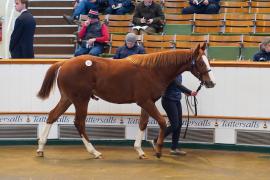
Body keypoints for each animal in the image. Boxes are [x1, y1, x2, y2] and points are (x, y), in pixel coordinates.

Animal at [37, 43, 215, 159]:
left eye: (208, 60)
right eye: (200, 62)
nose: (211, 83)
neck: (153, 70)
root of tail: (65, 62)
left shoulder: (147, 103)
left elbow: (143, 123)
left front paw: (140, 151)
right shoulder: (146, 102)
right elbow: (162, 122)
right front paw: (158, 150)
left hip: (67, 99)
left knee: (52, 116)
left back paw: (40, 148)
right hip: (81, 100)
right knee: (79, 123)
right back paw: (94, 152)